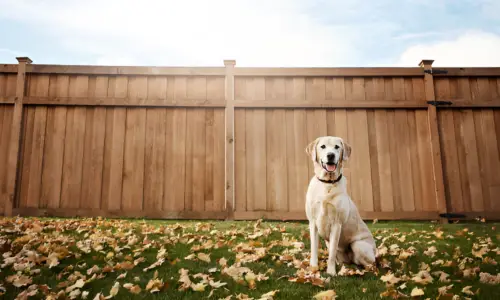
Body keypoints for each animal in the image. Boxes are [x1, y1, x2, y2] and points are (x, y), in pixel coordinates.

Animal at [304, 136, 376, 276]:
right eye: (323, 146)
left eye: (337, 147)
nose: (330, 155)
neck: (327, 183)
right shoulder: (313, 223)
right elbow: (314, 248)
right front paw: (313, 268)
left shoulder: (336, 224)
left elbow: (332, 253)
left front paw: (331, 272)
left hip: (358, 245)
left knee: (369, 264)